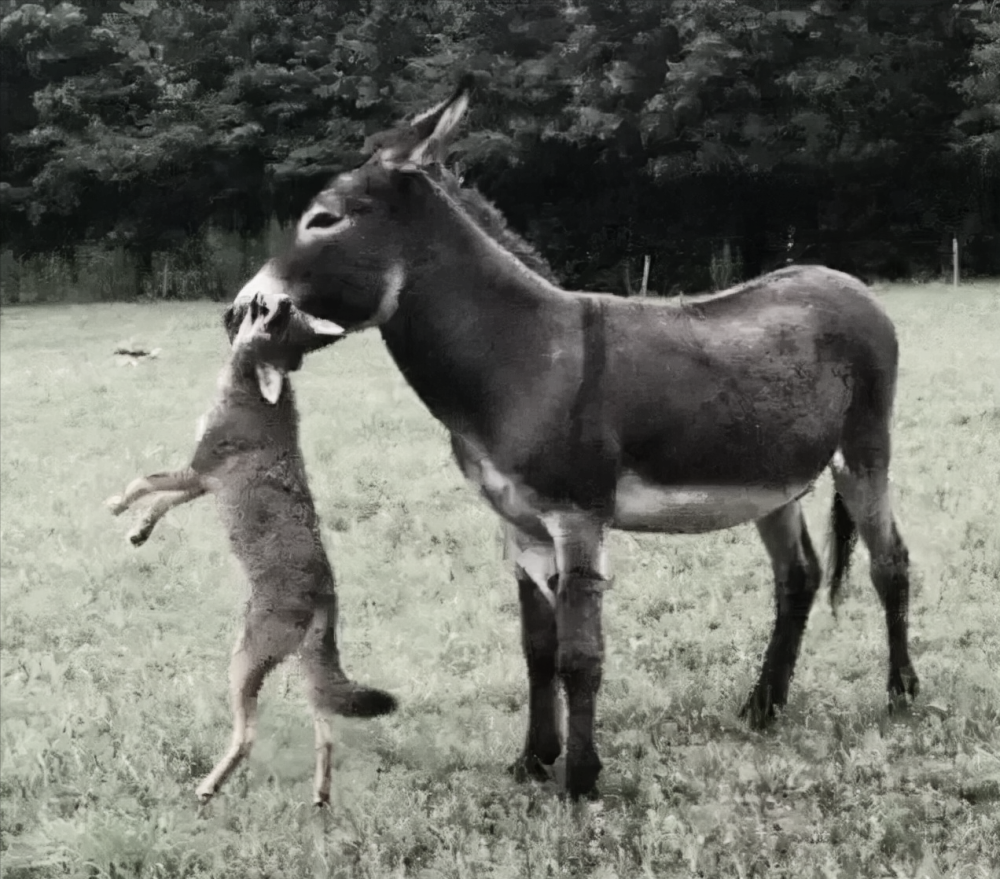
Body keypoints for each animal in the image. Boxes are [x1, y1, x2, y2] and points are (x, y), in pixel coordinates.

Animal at [104, 294, 394, 804]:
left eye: (274, 317)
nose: (273, 297)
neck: (251, 391)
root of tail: (325, 591)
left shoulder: (199, 470)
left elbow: (143, 482)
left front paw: (119, 507)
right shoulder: (202, 482)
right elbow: (158, 502)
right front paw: (139, 531)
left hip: (242, 664)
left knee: (247, 737)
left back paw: (208, 787)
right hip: (310, 673)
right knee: (326, 735)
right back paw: (320, 795)